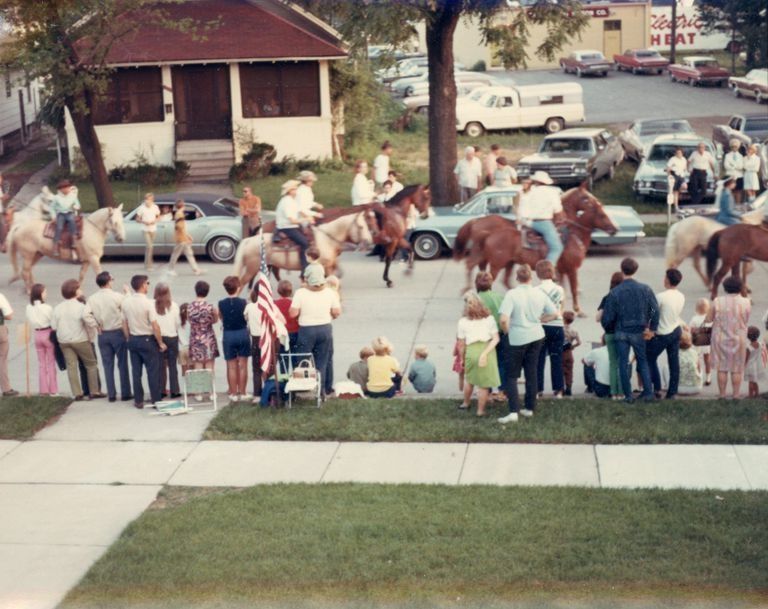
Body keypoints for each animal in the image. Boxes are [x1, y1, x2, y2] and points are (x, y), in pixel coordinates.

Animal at [232, 207, 375, 290]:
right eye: (361, 227)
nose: (369, 242)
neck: (326, 239)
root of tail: (249, 240)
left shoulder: (330, 266)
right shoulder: (325, 267)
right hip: (252, 268)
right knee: (241, 283)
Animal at [463, 188, 618, 315]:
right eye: (602, 215)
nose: (615, 229)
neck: (573, 235)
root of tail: (489, 233)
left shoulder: (561, 271)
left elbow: (562, 287)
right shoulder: (572, 269)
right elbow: (573, 289)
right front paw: (578, 310)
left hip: (509, 263)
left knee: (504, 280)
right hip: (497, 264)